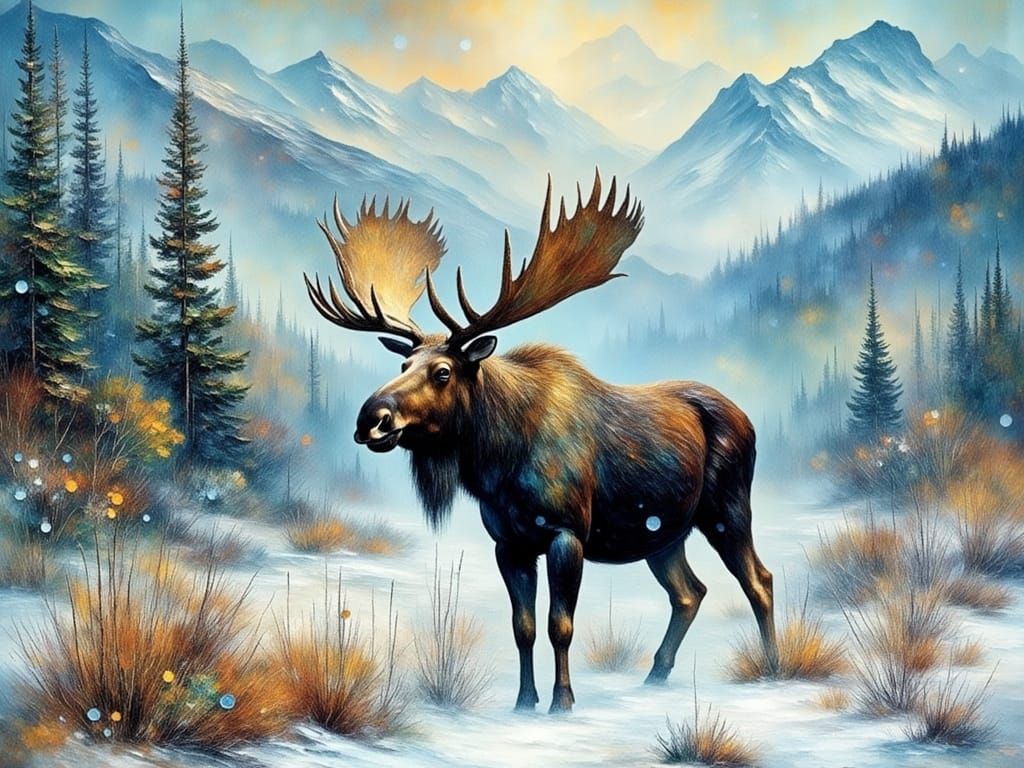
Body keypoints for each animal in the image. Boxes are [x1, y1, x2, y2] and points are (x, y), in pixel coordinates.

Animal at [304, 173, 778, 713]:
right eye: (403, 364)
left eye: (443, 371)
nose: (372, 419)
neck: (497, 464)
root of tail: (748, 419)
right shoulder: (509, 543)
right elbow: (523, 628)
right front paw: (524, 700)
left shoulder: (565, 533)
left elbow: (560, 625)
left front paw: (563, 700)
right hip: (664, 533)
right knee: (689, 591)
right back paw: (656, 674)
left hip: (727, 508)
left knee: (759, 581)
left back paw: (771, 668)